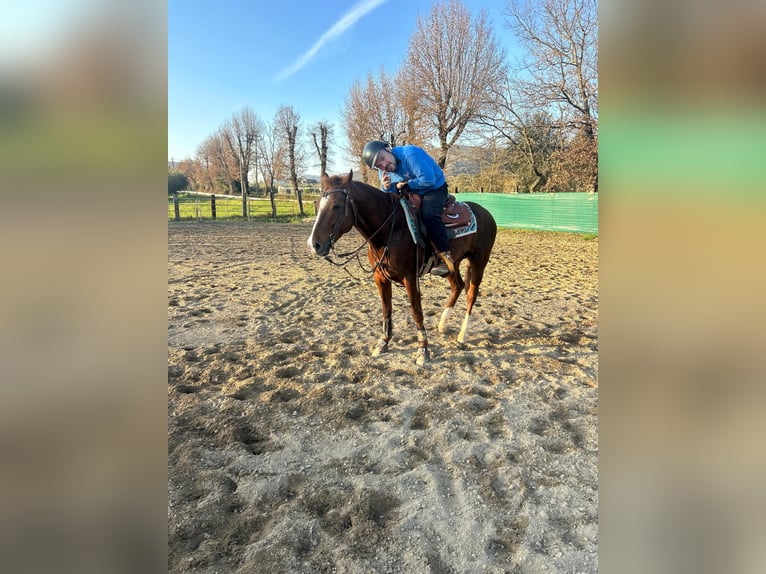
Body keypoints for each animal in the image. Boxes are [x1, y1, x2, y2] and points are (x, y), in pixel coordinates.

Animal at [307, 170, 497, 365]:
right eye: (317, 204)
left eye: (336, 206)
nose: (314, 245)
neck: (390, 229)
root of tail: (485, 213)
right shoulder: (380, 277)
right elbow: (386, 309)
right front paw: (383, 342)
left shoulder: (410, 278)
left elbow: (416, 312)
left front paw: (423, 350)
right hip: (453, 264)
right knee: (457, 286)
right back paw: (443, 324)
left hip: (478, 262)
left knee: (471, 294)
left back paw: (463, 334)